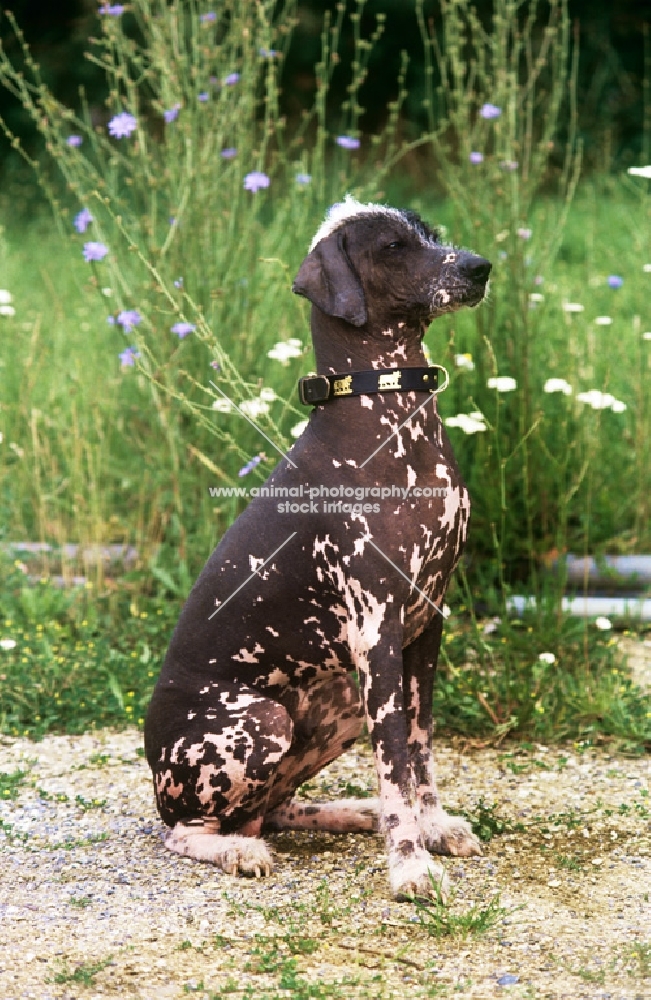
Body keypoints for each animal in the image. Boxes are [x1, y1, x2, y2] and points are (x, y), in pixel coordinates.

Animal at [145, 195, 492, 900]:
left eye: (431, 234)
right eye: (393, 247)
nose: (479, 267)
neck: (391, 424)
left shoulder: (426, 629)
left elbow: (422, 749)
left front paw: (433, 829)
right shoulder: (377, 634)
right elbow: (395, 764)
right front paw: (410, 863)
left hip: (336, 705)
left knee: (271, 810)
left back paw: (351, 815)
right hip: (261, 724)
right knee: (189, 831)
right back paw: (236, 851)